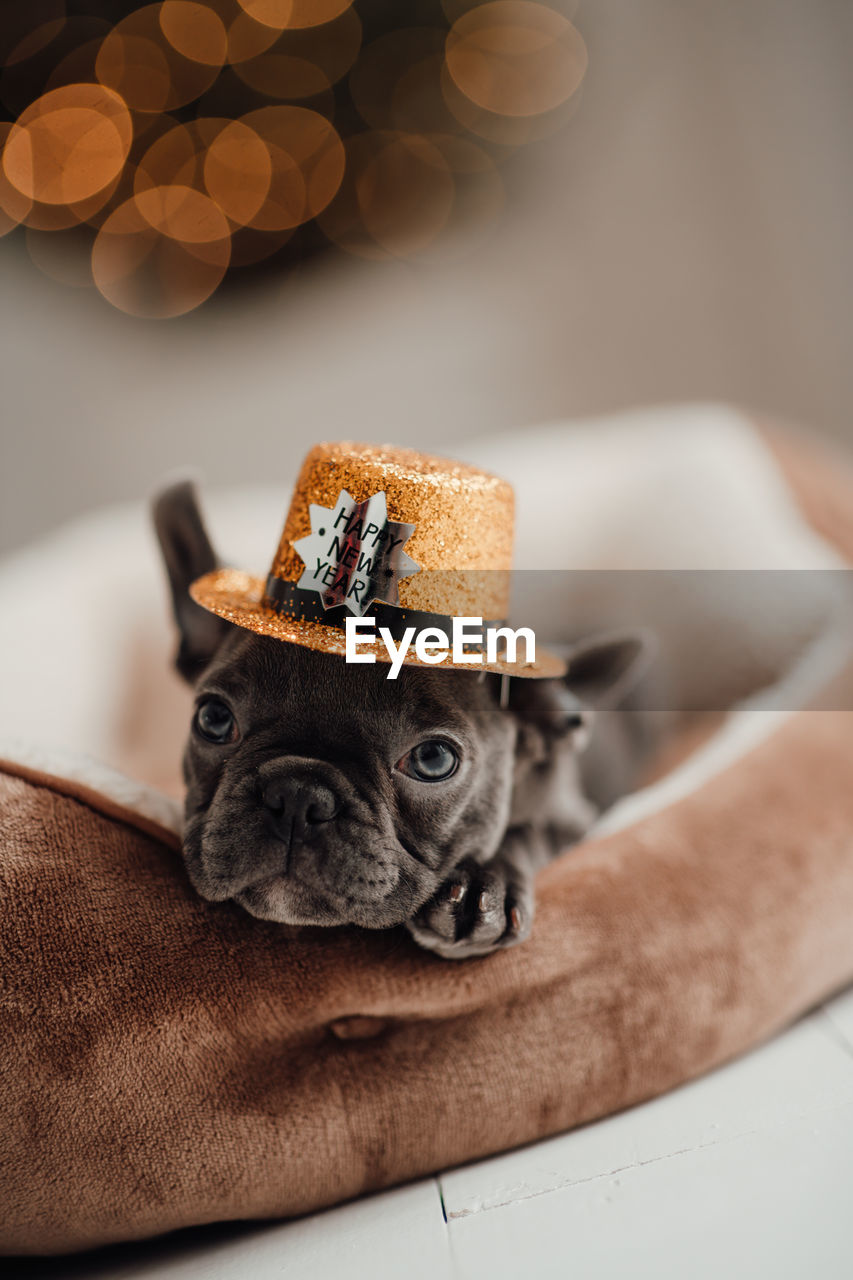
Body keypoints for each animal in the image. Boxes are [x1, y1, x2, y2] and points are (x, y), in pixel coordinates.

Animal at [153, 481, 653, 962]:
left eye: (433, 759)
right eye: (214, 719)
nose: (297, 796)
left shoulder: (574, 819)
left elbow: (528, 832)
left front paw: (483, 886)